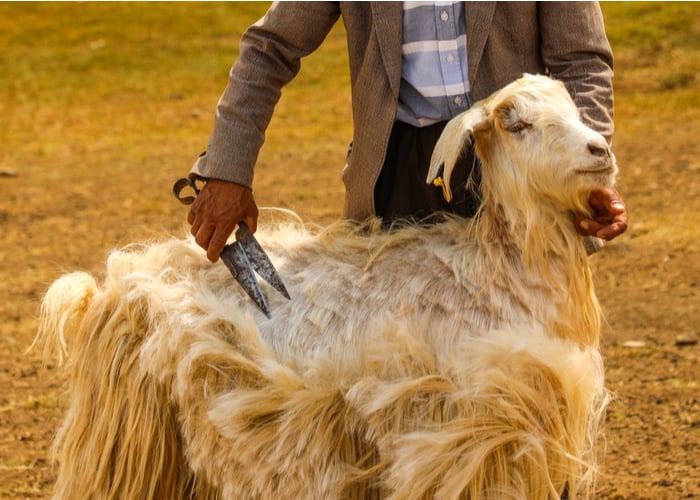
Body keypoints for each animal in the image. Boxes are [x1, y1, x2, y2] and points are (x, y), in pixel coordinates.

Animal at [38, 74, 616, 500]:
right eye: (516, 123)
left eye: (573, 107)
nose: (599, 149)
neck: (497, 270)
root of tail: (113, 283)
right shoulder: (468, 434)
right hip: (127, 437)